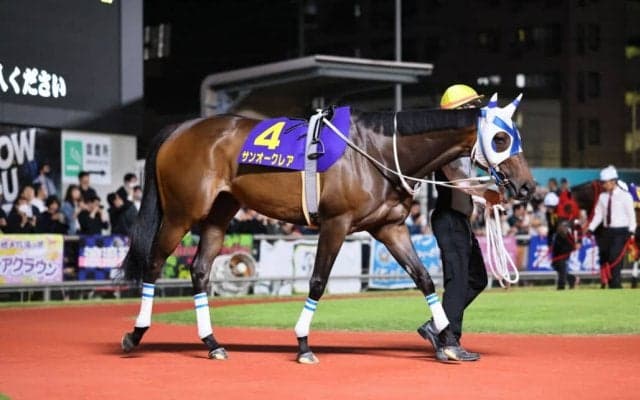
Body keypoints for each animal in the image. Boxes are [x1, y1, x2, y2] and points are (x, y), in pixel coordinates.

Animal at [120, 93, 535, 363]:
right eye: (500, 138)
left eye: (516, 136)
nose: (527, 187)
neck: (377, 150)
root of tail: (181, 128)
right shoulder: (336, 223)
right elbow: (318, 281)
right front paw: (303, 343)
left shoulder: (390, 227)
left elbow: (424, 278)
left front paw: (446, 341)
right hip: (181, 213)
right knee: (153, 264)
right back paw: (135, 334)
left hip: (220, 213)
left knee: (200, 270)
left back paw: (212, 343)